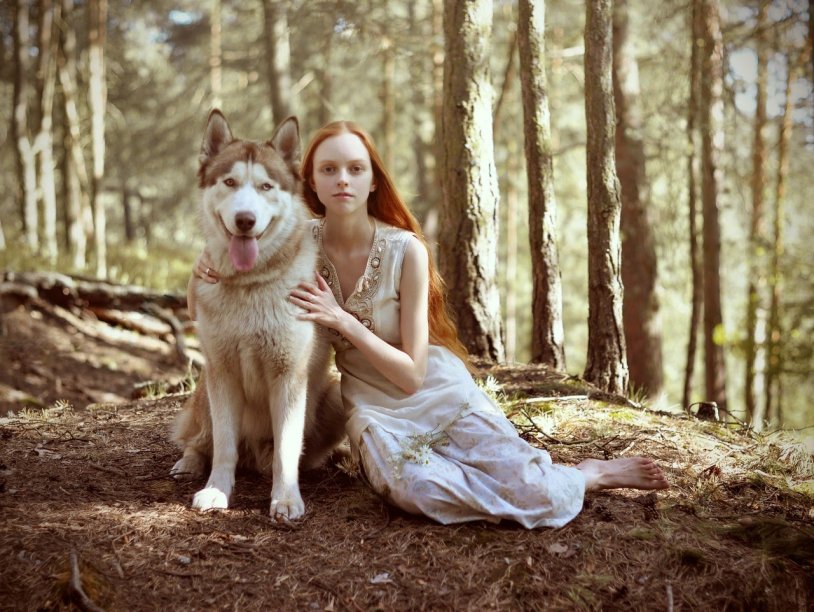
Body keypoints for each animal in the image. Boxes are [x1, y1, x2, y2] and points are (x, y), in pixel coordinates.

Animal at [170, 110, 346, 521]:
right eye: (230, 182)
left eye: (266, 186)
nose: (245, 220)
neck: (250, 285)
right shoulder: (222, 372)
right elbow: (224, 446)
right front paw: (217, 490)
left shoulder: (288, 375)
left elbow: (286, 449)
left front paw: (286, 498)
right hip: (205, 389)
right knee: (198, 439)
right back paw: (189, 462)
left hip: (333, 394)